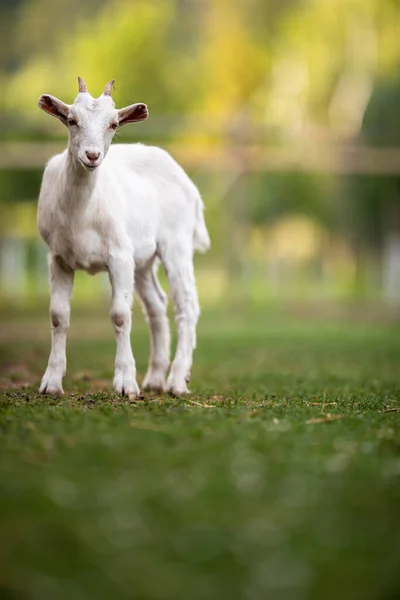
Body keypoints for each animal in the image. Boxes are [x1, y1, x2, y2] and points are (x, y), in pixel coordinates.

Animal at [37, 77, 211, 396]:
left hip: (176, 243)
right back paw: (155, 377)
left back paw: (177, 381)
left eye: (113, 124)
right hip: (141, 260)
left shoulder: (118, 254)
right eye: (71, 120)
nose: (92, 156)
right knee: (156, 304)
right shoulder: (58, 257)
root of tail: (190, 187)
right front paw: (51, 383)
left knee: (187, 305)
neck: (81, 213)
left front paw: (126, 383)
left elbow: (120, 314)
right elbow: (58, 315)